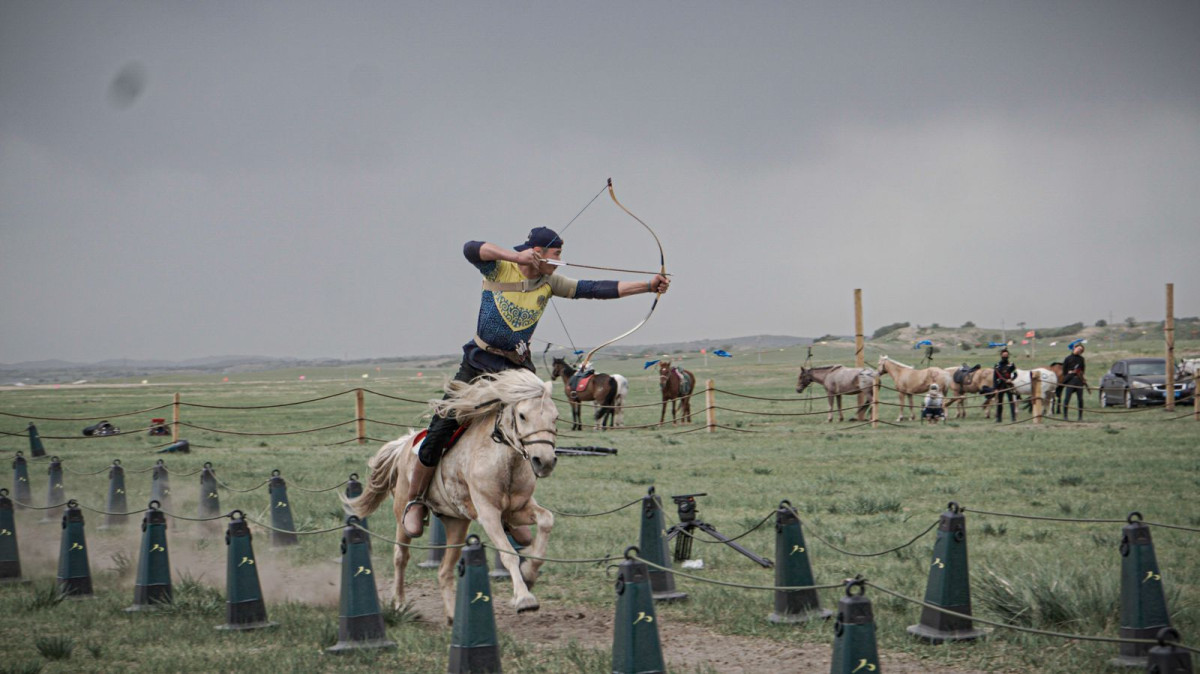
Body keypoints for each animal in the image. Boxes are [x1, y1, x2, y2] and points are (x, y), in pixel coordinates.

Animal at [343, 366, 556, 618]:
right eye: (522, 415)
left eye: (555, 417)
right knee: (401, 556)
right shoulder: (489, 514)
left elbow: (546, 521)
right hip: (403, 515)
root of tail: (404, 445)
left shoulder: (517, 510)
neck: (503, 460)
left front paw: (529, 572)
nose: (544, 461)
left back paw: (453, 617)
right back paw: (400, 603)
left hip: (457, 523)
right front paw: (524, 598)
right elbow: (508, 553)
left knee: (444, 570)